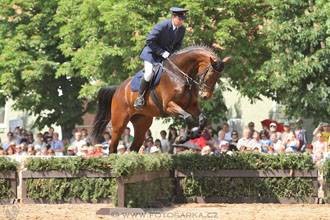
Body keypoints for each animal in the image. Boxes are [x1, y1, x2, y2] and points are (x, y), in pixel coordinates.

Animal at [92, 45, 229, 153]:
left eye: (219, 76)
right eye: (211, 74)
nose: (206, 96)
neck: (181, 75)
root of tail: (118, 89)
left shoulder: (192, 105)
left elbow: (202, 119)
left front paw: (194, 134)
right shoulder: (169, 105)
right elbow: (188, 118)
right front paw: (182, 138)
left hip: (142, 123)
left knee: (133, 147)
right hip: (119, 123)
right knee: (113, 147)